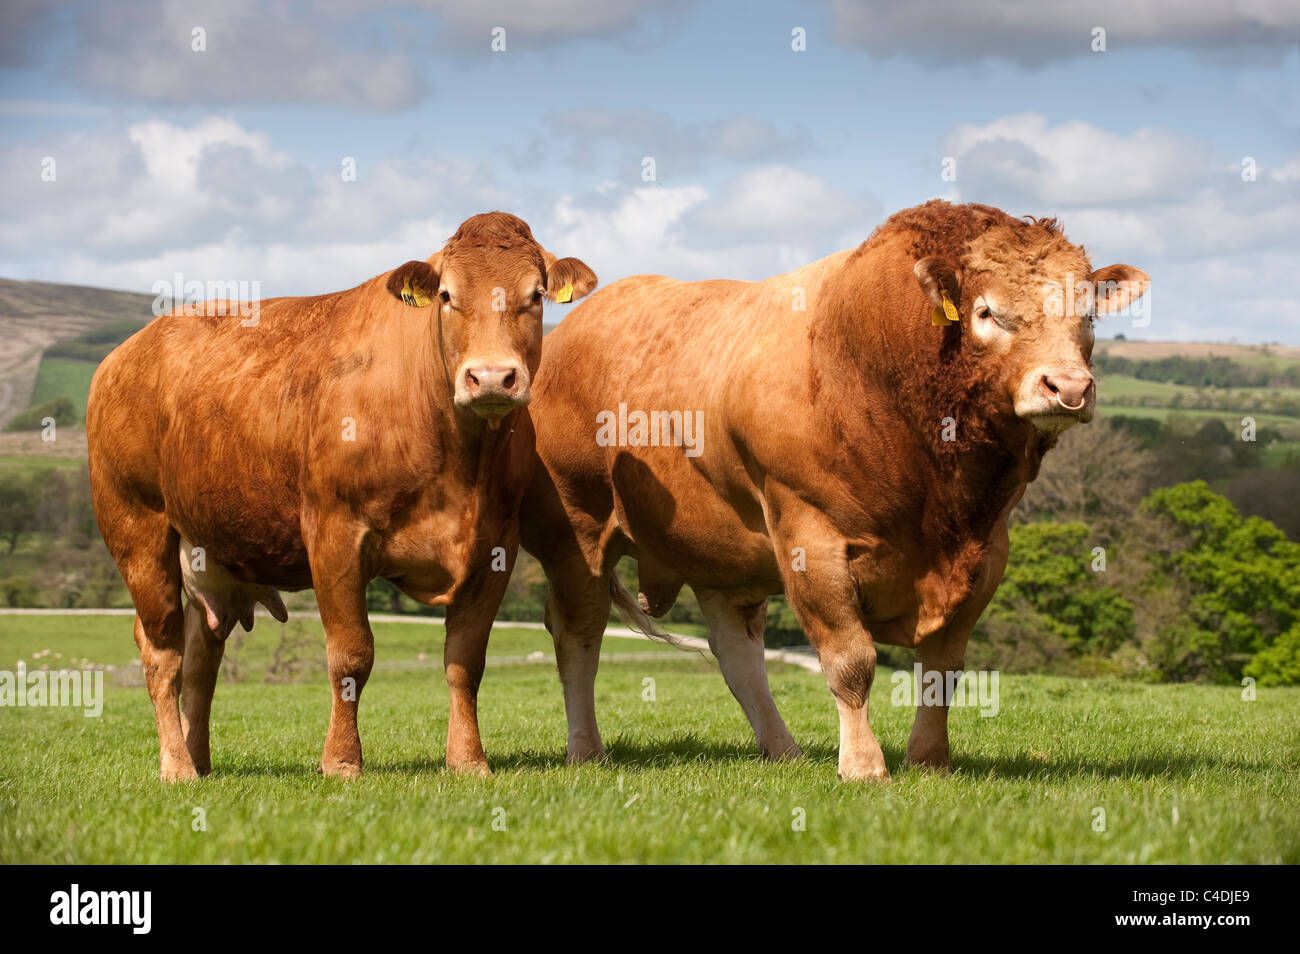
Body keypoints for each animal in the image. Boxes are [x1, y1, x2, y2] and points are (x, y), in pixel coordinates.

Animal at [87, 212, 597, 781]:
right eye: (446, 295)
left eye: (536, 295)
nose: (490, 377)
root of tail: (126, 353)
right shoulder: (335, 535)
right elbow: (351, 656)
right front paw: (342, 761)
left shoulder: (495, 547)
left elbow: (466, 662)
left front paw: (468, 761)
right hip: (137, 529)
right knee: (162, 653)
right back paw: (176, 767)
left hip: (205, 548)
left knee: (200, 660)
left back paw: (199, 761)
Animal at [521, 200, 1147, 780]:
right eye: (986, 311)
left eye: (1089, 315)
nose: (1068, 387)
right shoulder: (809, 534)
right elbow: (850, 659)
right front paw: (865, 766)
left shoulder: (986, 550)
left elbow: (942, 668)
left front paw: (929, 760)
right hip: (576, 536)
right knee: (579, 636)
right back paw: (586, 749)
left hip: (719, 549)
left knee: (737, 652)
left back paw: (783, 751)